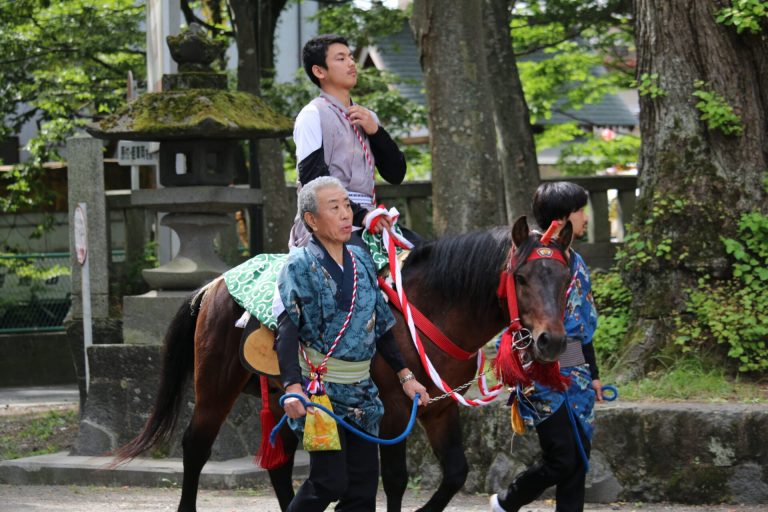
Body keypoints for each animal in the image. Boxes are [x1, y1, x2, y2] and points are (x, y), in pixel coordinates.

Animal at [111, 216, 572, 512]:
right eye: (522, 278)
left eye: (566, 280)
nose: (551, 341)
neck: (432, 308)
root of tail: (211, 286)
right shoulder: (394, 408)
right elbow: (397, 480)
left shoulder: (438, 406)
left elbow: (457, 473)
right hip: (215, 385)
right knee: (196, 447)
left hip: (290, 396)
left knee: (280, 462)